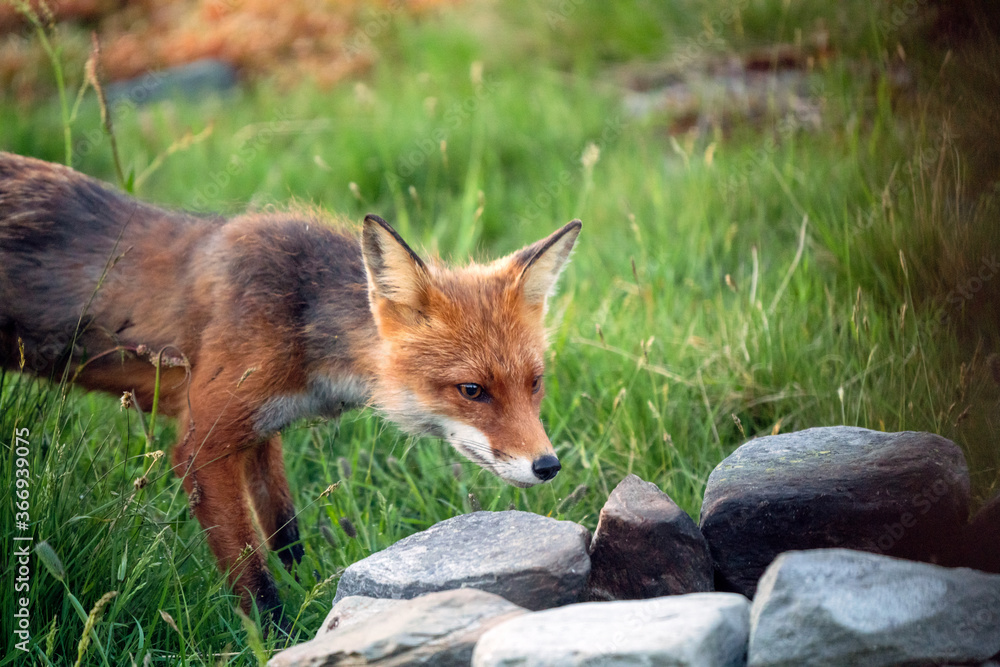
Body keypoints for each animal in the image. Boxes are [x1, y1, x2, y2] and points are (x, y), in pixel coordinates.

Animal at [0, 151, 581, 627]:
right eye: (472, 390)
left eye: (534, 383)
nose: (548, 466)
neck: (298, 318)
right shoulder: (203, 444)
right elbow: (254, 579)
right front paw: (277, 639)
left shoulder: (261, 433)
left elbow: (286, 538)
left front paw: (309, 592)